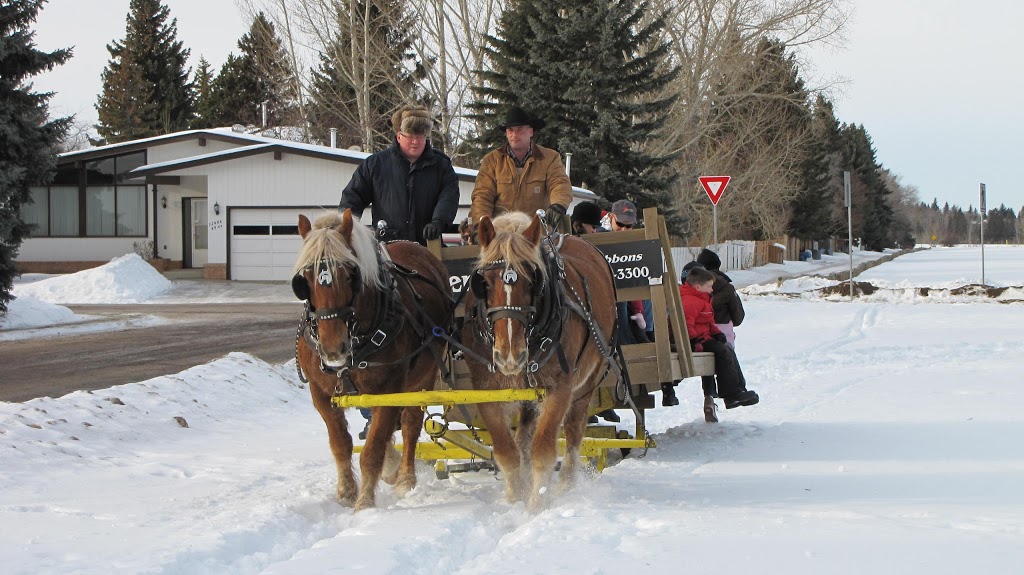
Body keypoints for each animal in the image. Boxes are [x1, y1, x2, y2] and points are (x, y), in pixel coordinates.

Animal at [288, 207, 448, 507]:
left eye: (350, 274)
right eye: (305, 279)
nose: (332, 348)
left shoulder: (390, 391)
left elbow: (372, 449)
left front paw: (365, 502)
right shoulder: (321, 393)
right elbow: (341, 444)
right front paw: (346, 492)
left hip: (422, 376)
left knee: (410, 425)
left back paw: (405, 478)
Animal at [464, 211, 614, 509]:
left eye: (532, 280)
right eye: (484, 282)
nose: (510, 355)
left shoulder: (559, 389)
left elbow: (543, 449)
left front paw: (537, 503)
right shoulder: (485, 391)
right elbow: (506, 450)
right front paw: (515, 497)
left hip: (588, 381)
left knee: (574, 430)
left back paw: (566, 484)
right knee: (522, 436)